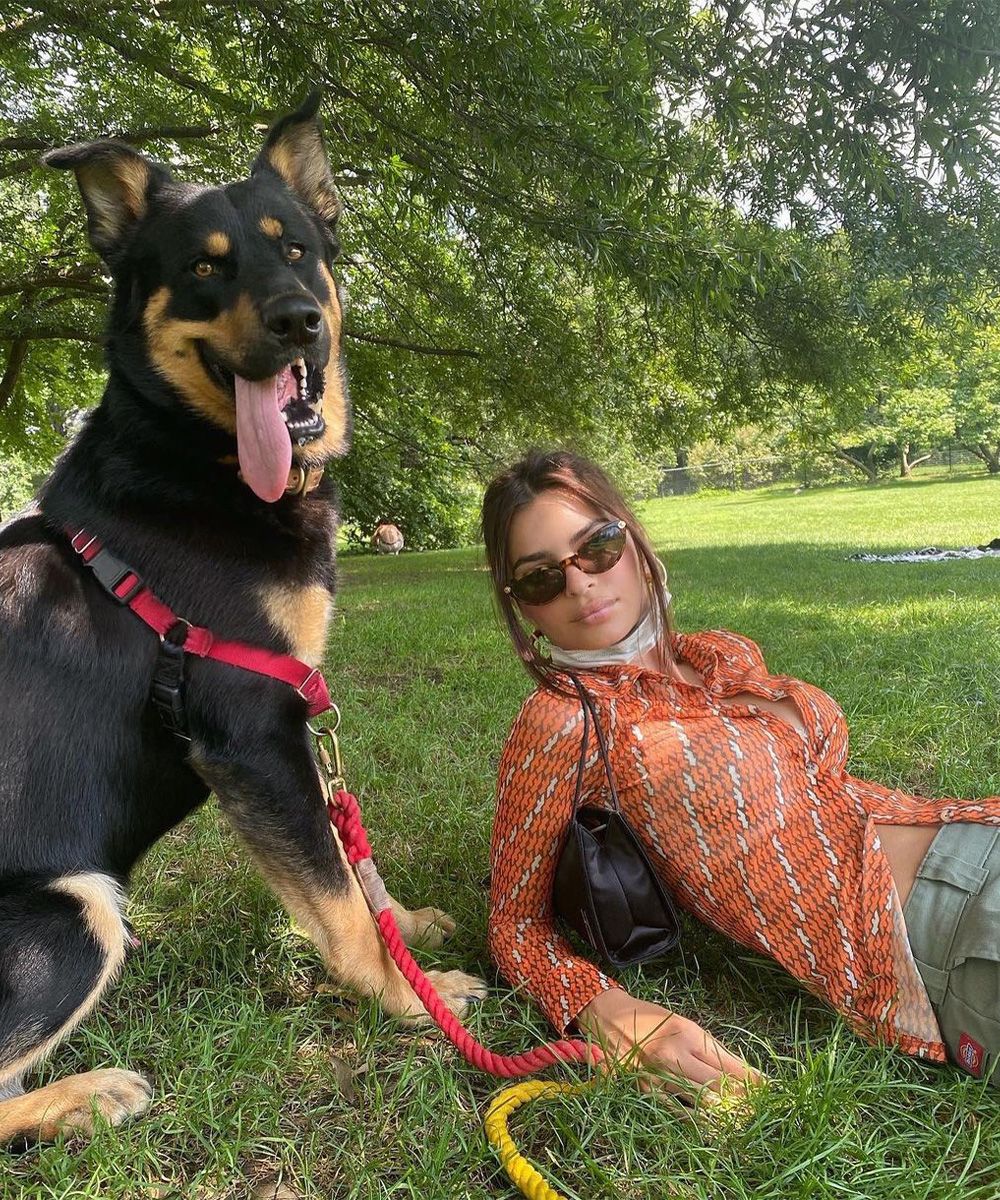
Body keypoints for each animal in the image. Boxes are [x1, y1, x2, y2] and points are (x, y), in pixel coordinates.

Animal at [0, 93, 485, 1145]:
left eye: (297, 248)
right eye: (203, 268)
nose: (298, 319)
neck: (194, 458)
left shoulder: (291, 721)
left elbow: (351, 863)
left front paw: (409, 931)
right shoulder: (252, 729)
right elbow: (336, 899)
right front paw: (409, 997)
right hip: (73, 913)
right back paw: (88, 1094)